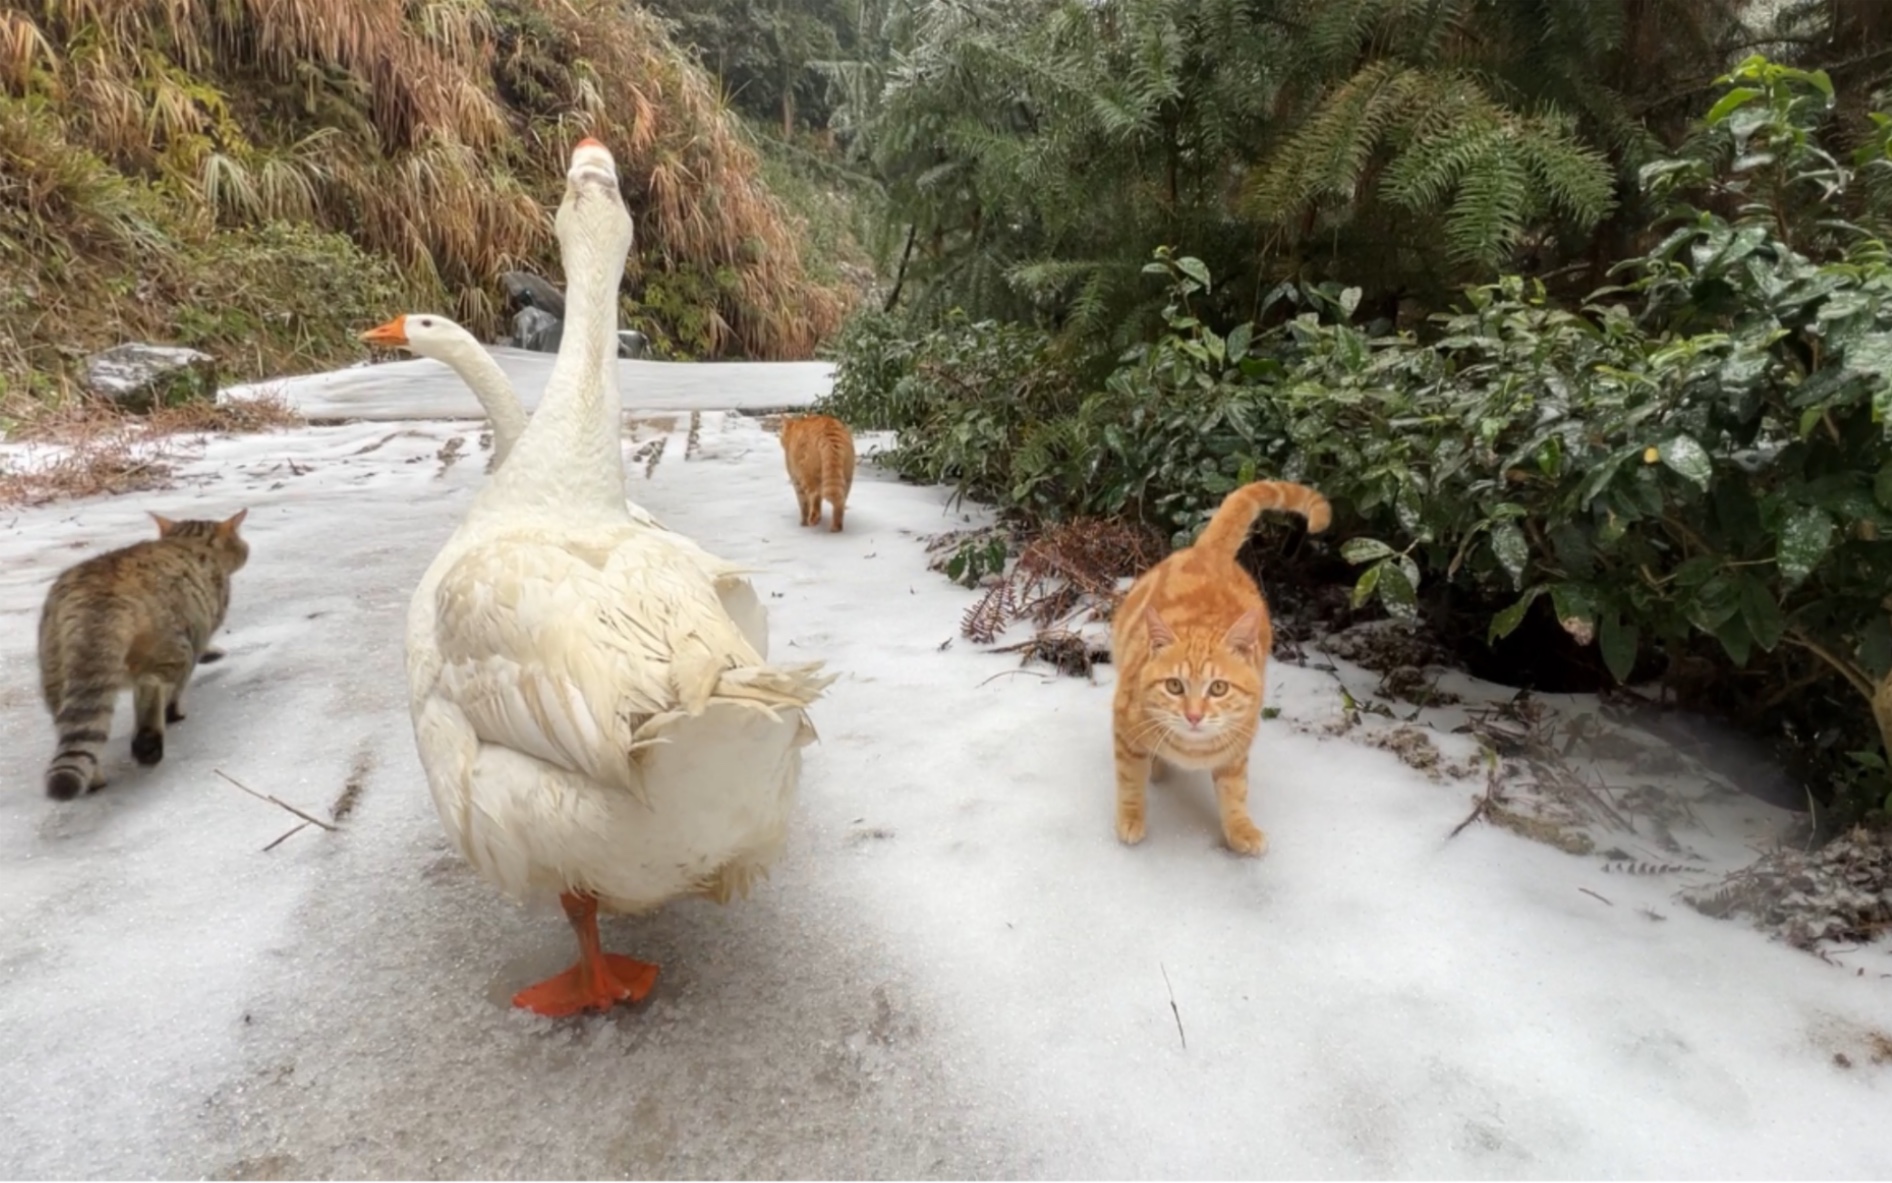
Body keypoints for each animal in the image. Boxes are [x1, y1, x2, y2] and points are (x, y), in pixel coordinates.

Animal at [36, 503, 249, 794]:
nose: (246, 548)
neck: (188, 542)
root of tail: (96, 598)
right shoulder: (197, 637)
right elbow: (177, 688)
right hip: (172, 648)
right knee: (152, 685)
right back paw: (148, 744)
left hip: (55, 671)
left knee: (71, 723)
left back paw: (95, 779)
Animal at [1104, 480, 1331, 859]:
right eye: (1174, 686)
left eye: (1219, 688)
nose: (1194, 716)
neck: (1191, 750)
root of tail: (1211, 552)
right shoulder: (1125, 731)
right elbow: (1129, 781)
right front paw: (1131, 818)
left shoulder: (1236, 751)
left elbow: (1234, 793)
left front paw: (1240, 829)